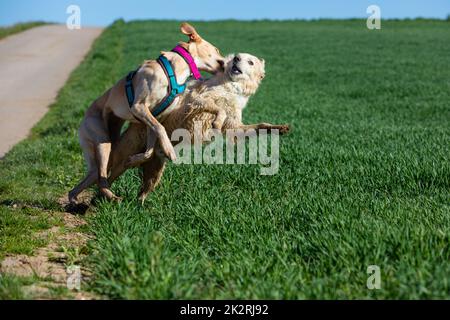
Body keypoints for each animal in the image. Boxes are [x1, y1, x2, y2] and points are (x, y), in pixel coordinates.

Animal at [69, 23, 224, 202]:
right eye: (217, 49)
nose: (228, 63)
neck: (175, 69)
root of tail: (83, 119)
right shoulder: (139, 107)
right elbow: (161, 129)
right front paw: (169, 150)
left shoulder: (154, 116)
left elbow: (149, 150)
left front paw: (133, 160)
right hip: (102, 140)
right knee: (101, 179)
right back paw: (112, 197)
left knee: (91, 179)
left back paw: (75, 199)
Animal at [105, 53, 288, 201]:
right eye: (238, 56)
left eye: (250, 61)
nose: (236, 59)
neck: (232, 88)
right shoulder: (197, 100)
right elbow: (218, 109)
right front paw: (216, 122)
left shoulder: (234, 125)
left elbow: (257, 125)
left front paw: (279, 128)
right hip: (123, 157)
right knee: (106, 178)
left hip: (154, 170)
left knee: (142, 191)